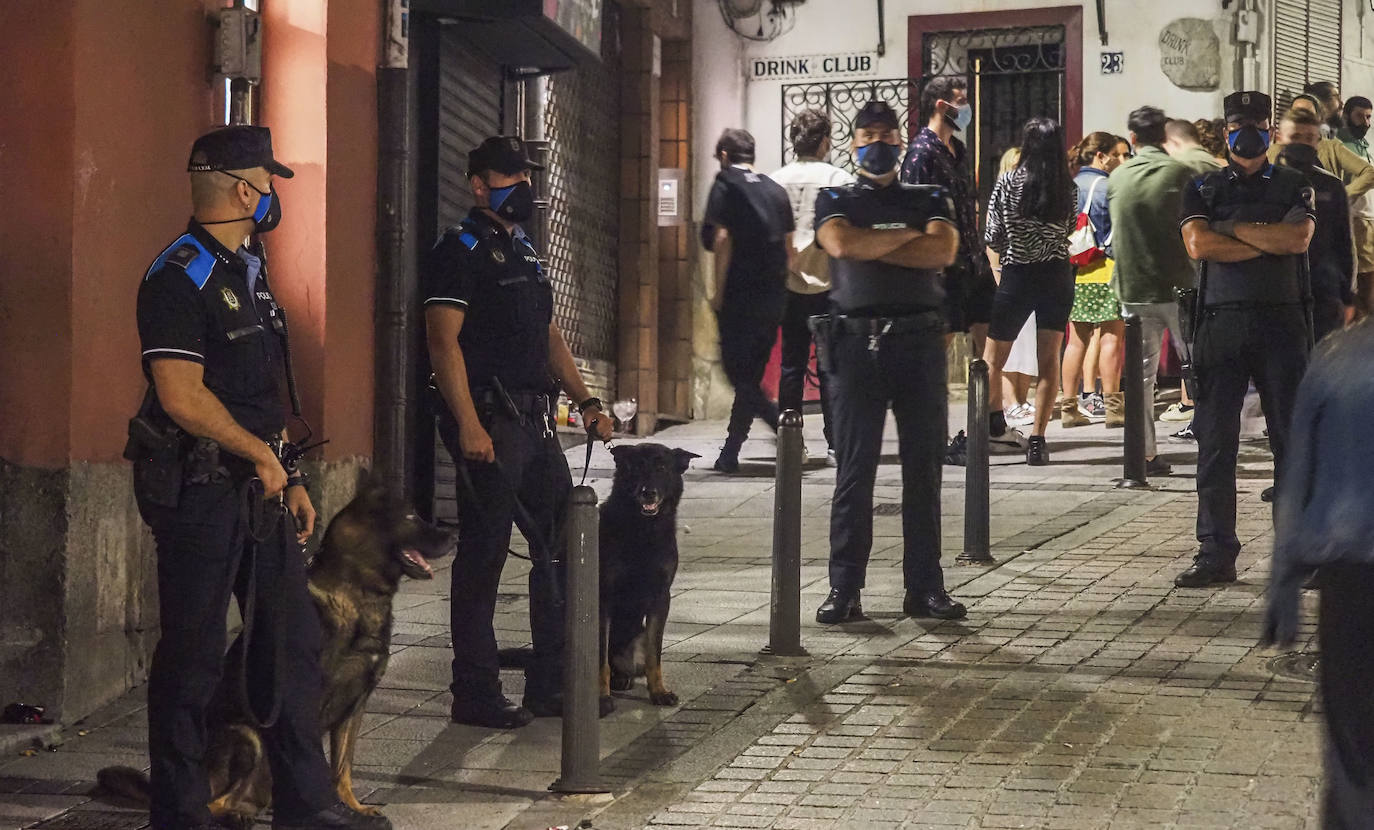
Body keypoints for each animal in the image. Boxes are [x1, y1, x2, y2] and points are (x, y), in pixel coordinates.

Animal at [103, 483, 456, 824]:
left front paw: (351, 807)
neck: (357, 592)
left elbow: (343, 769)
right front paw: (327, 807)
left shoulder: (355, 707)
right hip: (248, 738)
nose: (453, 536)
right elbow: (316, 761)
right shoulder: (310, 699)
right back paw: (233, 815)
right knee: (215, 801)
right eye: (411, 517)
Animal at [599, 445, 697, 709]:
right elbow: (598, 657)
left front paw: (658, 692)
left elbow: (655, 653)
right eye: (635, 468)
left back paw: (623, 679)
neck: (643, 530)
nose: (648, 493)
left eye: (661, 468)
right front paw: (601, 698)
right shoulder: (603, 597)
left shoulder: (660, 598)